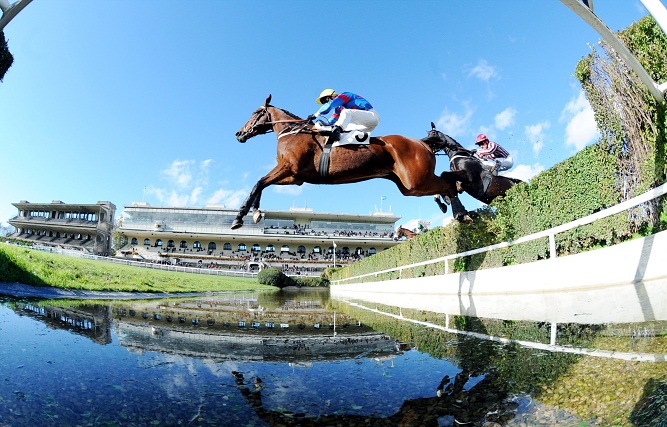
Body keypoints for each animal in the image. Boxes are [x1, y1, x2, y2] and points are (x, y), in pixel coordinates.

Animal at [232, 95, 468, 231]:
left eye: (255, 112)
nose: (239, 134)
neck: (292, 132)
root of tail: (421, 142)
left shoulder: (289, 168)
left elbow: (258, 183)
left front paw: (239, 217)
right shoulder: (294, 177)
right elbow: (261, 184)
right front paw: (256, 212)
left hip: (416, 181)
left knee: (448, 183)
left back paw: (461, 212)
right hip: (409, 186)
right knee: (446, 184)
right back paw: (456, 209)